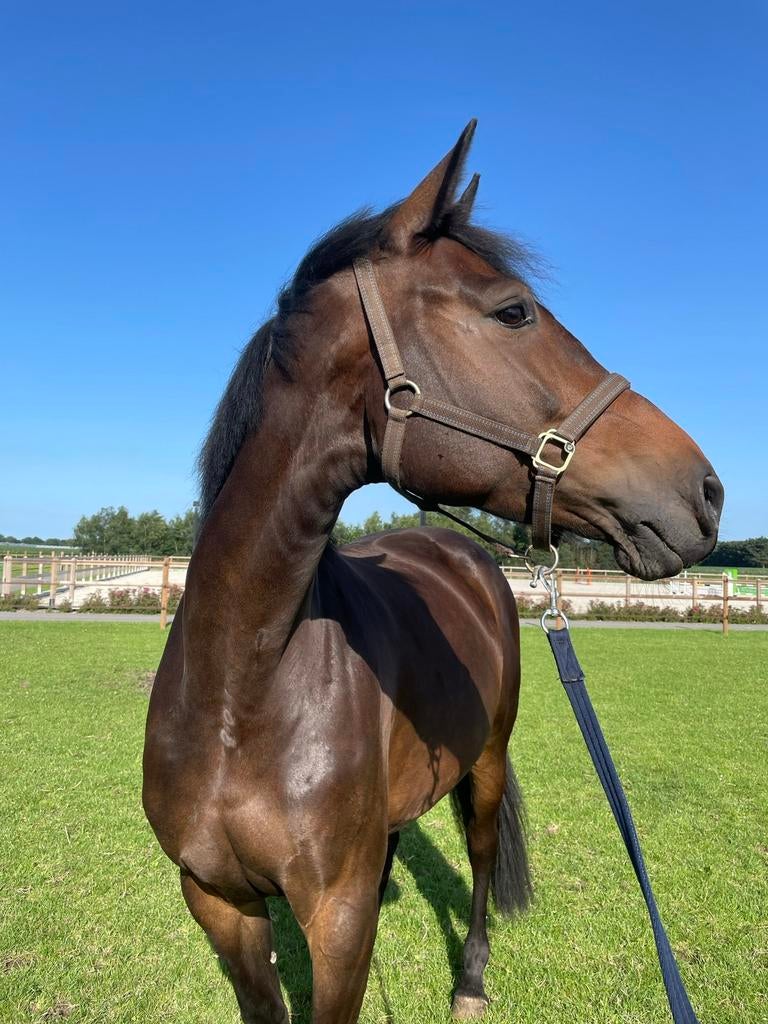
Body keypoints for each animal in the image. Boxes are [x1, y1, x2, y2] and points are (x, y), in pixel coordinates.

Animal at [143, 121, 722, 1023]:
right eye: (514, 311)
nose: (706, 489)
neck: (240, 693)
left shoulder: (337, 923)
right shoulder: (219, 903)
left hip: (486, 765)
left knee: (481, 860)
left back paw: (473, 979)